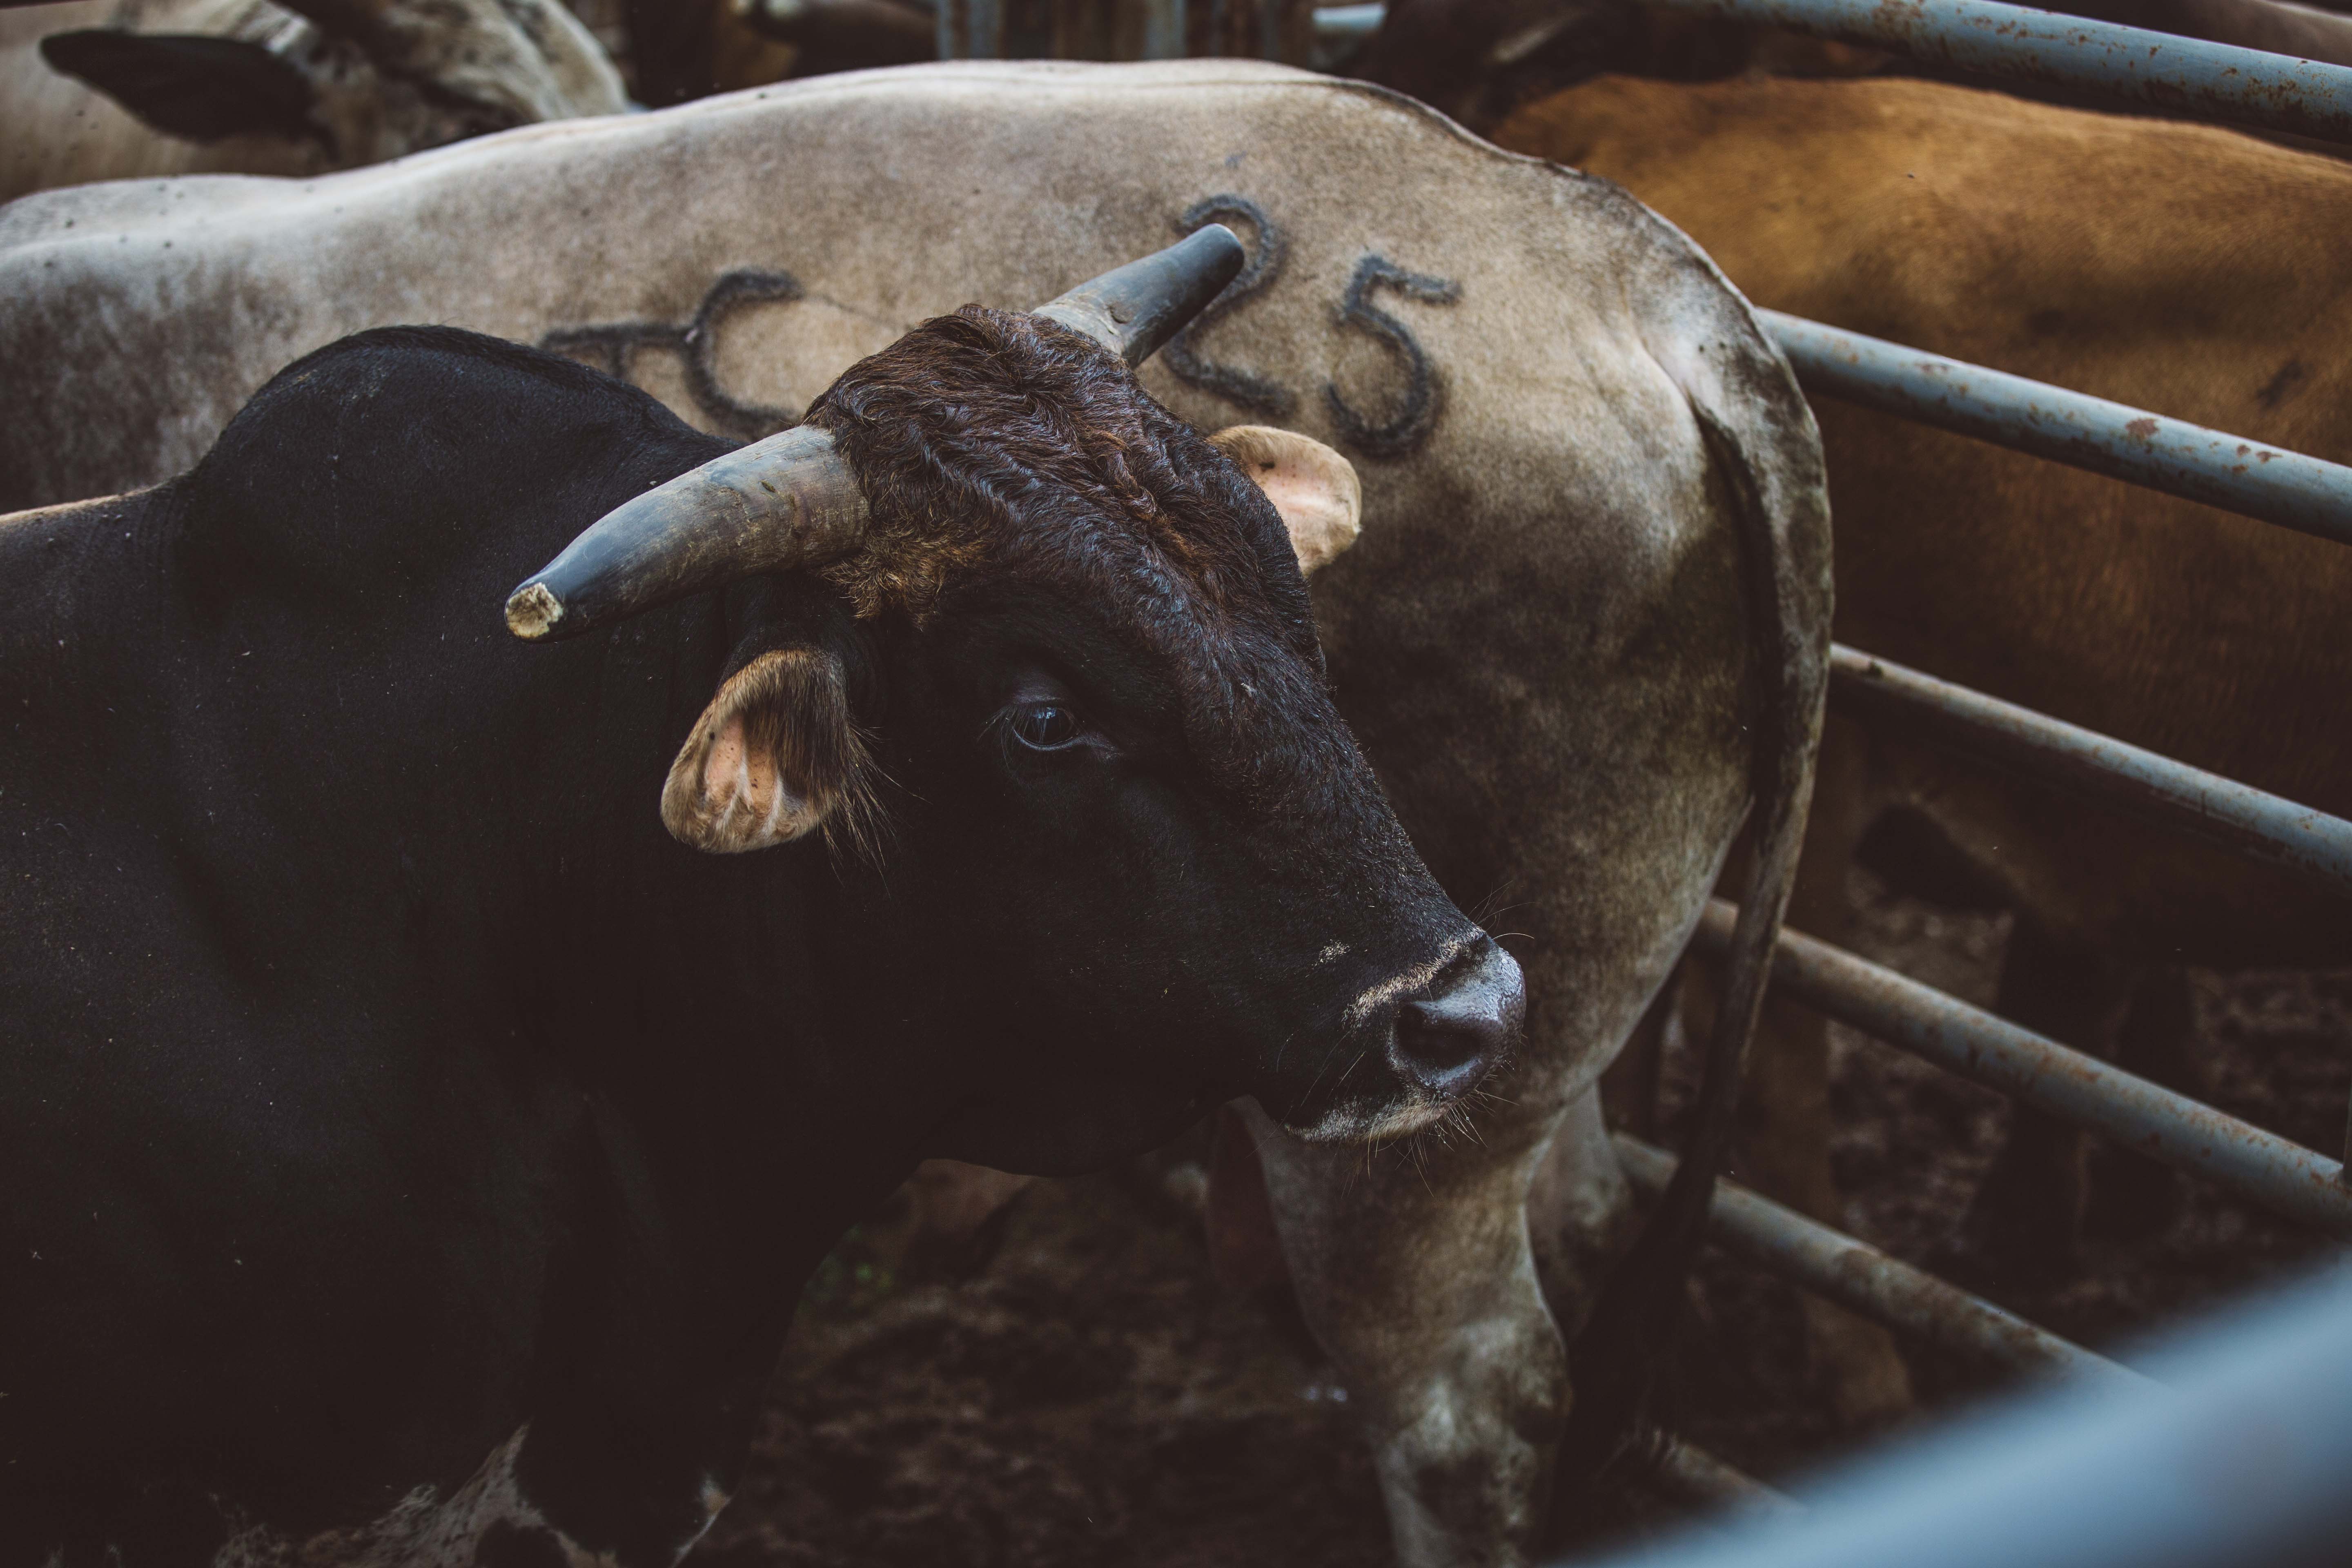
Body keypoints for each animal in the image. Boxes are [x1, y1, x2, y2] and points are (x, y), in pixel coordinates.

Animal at [0, 61, 1833, 1566]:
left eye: (1287, 599)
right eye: (1043, 716)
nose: (1454, 1003)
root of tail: (1639, 270)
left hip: (1404, 1169)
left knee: (1474, 1415)